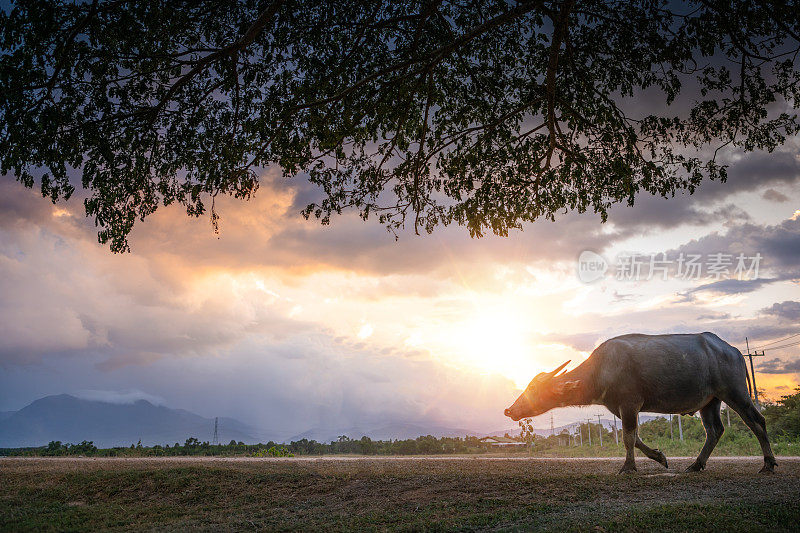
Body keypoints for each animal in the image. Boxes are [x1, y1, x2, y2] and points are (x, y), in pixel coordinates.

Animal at [506, 332, 776, 474]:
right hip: (710, 401)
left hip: (735, 393)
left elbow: (628, 438)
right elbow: (635, 437)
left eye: (534, 389)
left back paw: (768, 464)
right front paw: (660, 457)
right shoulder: (623, 409)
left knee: (758, 422)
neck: (601, 370)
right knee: (714, 430)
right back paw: (696, 465)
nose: (509, 409)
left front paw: (628, 467)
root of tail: (734, 351)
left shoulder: (629, 404)